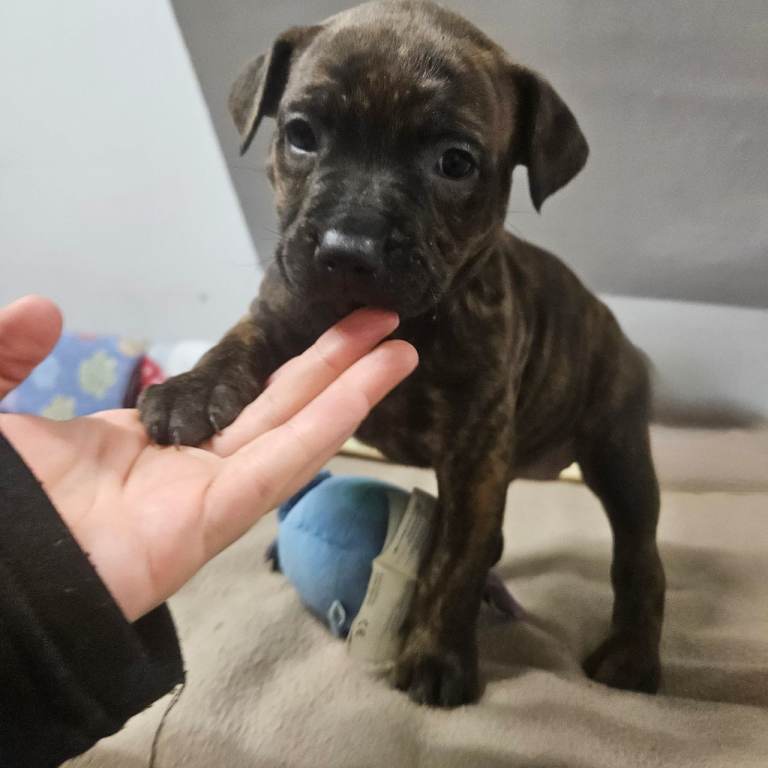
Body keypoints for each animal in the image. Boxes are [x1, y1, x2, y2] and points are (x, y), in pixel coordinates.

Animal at [139, 0, 665, 707]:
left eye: (455, 163)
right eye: (300, 134)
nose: (347, 250)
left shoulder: (474, 453)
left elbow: (454, 563)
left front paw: (436, 655)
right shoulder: (280, 313)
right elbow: (237, 342)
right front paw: (189, 391)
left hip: (619, 451)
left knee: (639, 556)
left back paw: (632, 657)